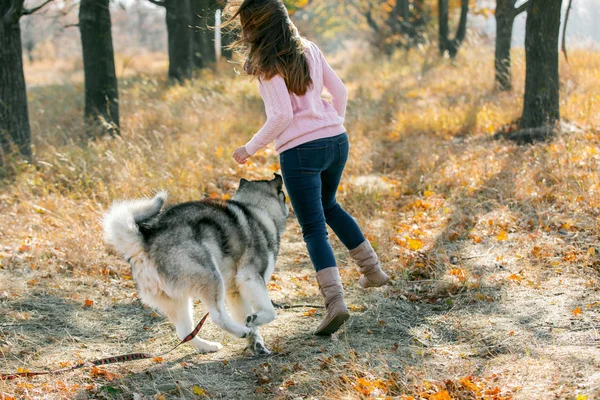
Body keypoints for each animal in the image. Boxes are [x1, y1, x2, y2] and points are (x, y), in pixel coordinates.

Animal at [102, 174, 288, 354]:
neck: (256, 209)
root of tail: (147, 241)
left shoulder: (235, 293)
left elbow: (250, 320)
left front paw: (256, 343)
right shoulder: (251, 277)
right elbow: (270, 312)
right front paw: (254, 321)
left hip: (177, 300)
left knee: (185, 332)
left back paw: (208, 346)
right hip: (212, 277)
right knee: (217, 316)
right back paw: (241, 331)